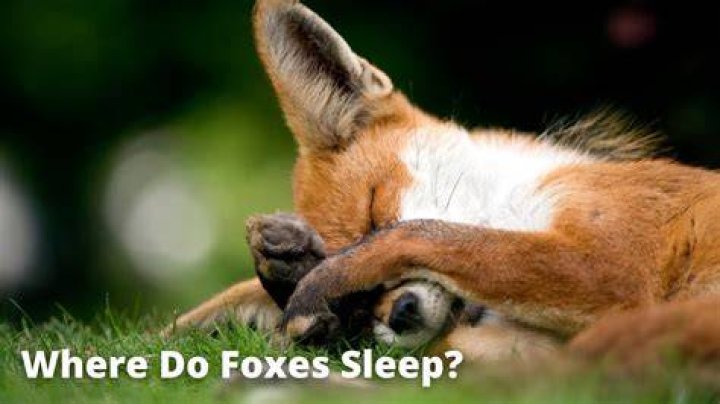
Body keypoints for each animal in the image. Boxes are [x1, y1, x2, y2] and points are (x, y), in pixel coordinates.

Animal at [165, 0, 720, 367]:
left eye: (375, 211)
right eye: (363, 307)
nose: (400, 314)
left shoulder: (612, 264)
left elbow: (426, 234)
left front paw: (315, 278)